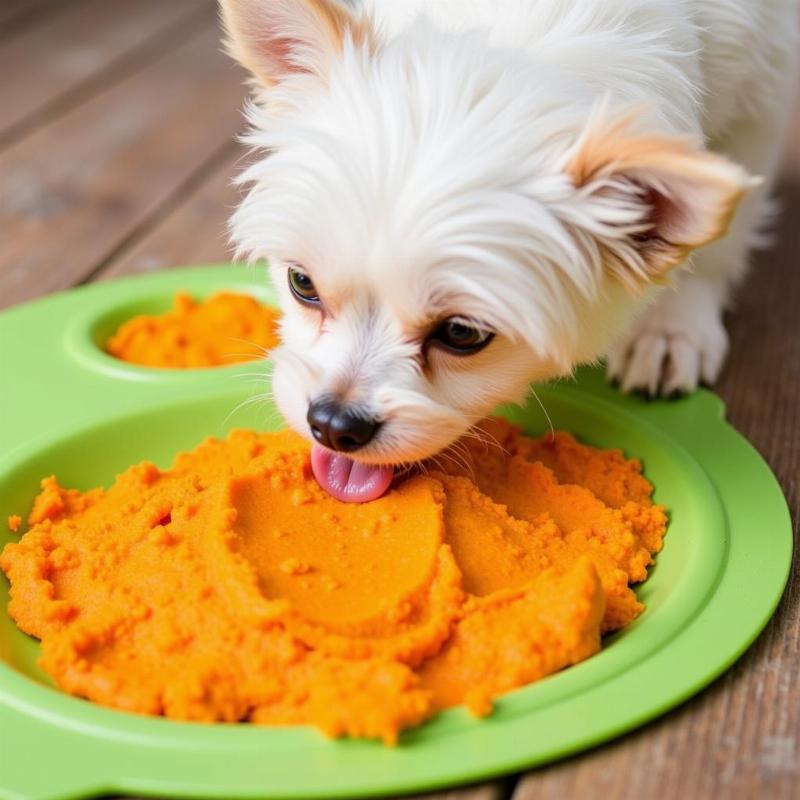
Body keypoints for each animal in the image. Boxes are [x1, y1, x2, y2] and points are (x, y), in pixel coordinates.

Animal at [217, 0, 792, 500]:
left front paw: (672, 328)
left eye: (462, 334)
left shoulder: (761, 94)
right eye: (302, 284)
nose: (335, 425)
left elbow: (721, 239)